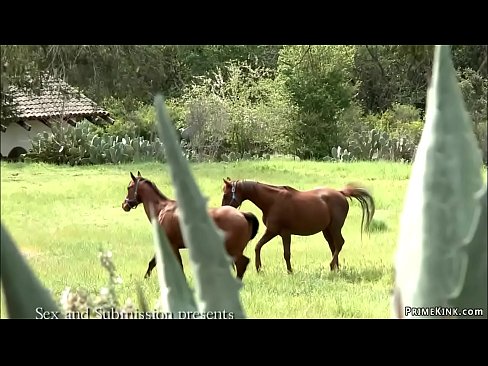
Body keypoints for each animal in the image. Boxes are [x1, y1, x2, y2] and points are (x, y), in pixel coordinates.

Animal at [121, 172, 260, 280]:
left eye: (129, 187)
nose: (124, 205)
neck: (162, 209)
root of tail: (243, 214)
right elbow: (156, 263)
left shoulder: (170, 245)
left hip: (233, 251)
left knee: (242, 264)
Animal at [223, 179, 376, 274]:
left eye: (226, 194)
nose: (224, 210)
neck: (272, 201)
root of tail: (340, 193)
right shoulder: (273, 232)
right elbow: (258, 246)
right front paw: (259, 268)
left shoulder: (281, 232)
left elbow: (286, 253)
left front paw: (289, 271)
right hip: (327, 230)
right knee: (333, 246)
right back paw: (336, 269)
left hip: (335, 228)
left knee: (339, 243)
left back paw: (332, 266)